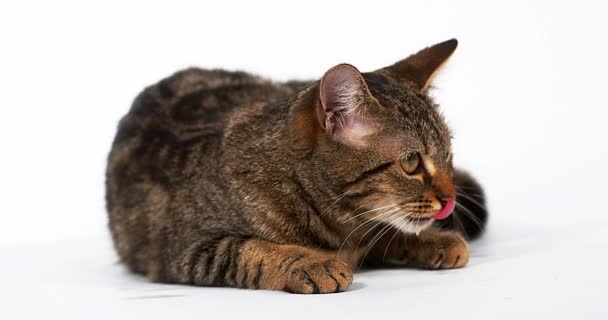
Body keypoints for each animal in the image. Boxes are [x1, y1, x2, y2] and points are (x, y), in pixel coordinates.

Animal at [107, 38, 490, 294]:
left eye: (448, 155)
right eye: (411, 163)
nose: (451, 200)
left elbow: (386, 232)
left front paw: (434, 240)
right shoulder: (188, 248)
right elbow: (250, 250)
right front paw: (310, 262)